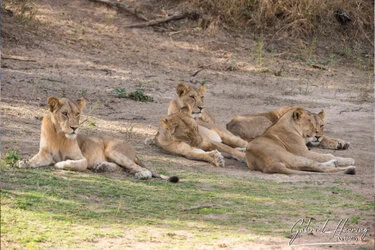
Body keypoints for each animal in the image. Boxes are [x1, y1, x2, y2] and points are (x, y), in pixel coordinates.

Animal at [18, 95, 180, 182]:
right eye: (64, 114)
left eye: (77, 114)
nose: (74, 128)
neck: (59, 134)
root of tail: (133, 149)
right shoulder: (45, 153)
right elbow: (34, 160)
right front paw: (23, 163)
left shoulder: (81, 158)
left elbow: (74, 164)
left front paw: (59, 164)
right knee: (123, 168)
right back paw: (101, 167)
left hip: (113, 151)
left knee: (141, 169)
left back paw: (140, 175)